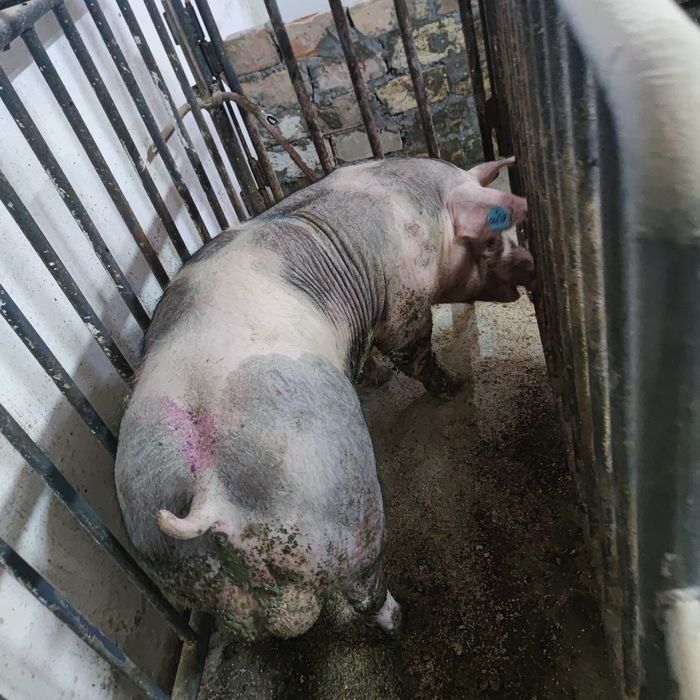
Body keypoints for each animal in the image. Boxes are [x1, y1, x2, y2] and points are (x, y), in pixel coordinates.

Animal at [115, 156, 533, 641]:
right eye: (491, 239)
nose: (528, 263)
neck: (425, 209)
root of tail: (210, 496)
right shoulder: (403, 302)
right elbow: (414, 353)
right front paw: (454, 385)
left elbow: (369, 356)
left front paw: (377, 376)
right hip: (345, 512)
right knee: (365, 588)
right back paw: (400, 620)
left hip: (173, 556)